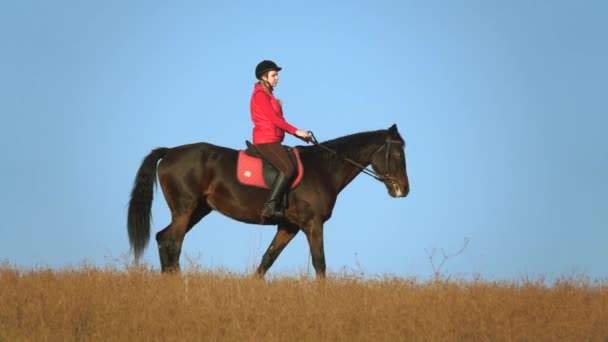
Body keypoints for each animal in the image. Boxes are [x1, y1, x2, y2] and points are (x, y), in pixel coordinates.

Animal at [129, 123, 414, 278]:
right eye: (398, 154)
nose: (404, 190)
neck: (324, 168)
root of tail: (169, 153)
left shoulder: (288, 227)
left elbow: (267, 260)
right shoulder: (313, 224)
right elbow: (320, 263)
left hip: (197, 211)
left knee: (163, 238)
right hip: (185, 209)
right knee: (172, 243)